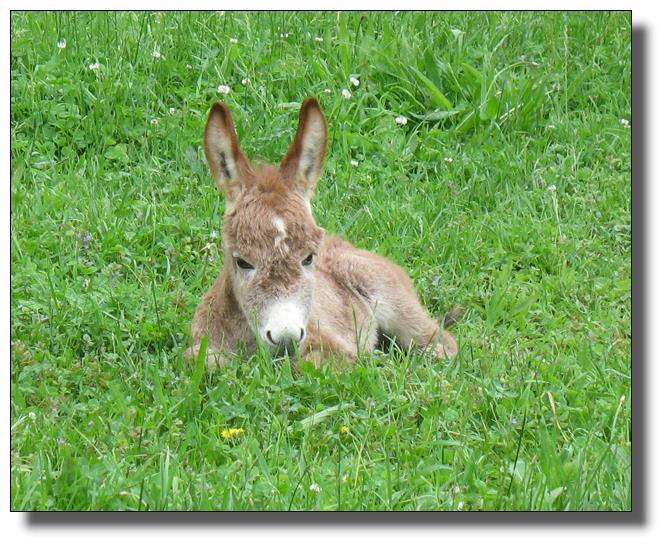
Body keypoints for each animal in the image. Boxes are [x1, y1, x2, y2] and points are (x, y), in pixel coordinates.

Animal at [184, 97, 459, 371]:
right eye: (242, 262)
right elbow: (199, 360)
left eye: (308, 258)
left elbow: (311, 365)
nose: (286, 337)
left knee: (442, 344)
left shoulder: (333, 346)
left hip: (399, 307)